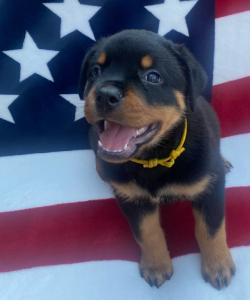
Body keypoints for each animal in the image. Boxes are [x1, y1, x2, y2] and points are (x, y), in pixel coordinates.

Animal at [79, 29, 235, 290]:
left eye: (153, 77)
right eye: (96, 72)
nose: (104, 95)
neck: (155, 159)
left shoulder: (211, 188)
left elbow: (211, 229)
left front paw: (218, 266)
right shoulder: (131, 197)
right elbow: (146, 233)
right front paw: (156, 266)